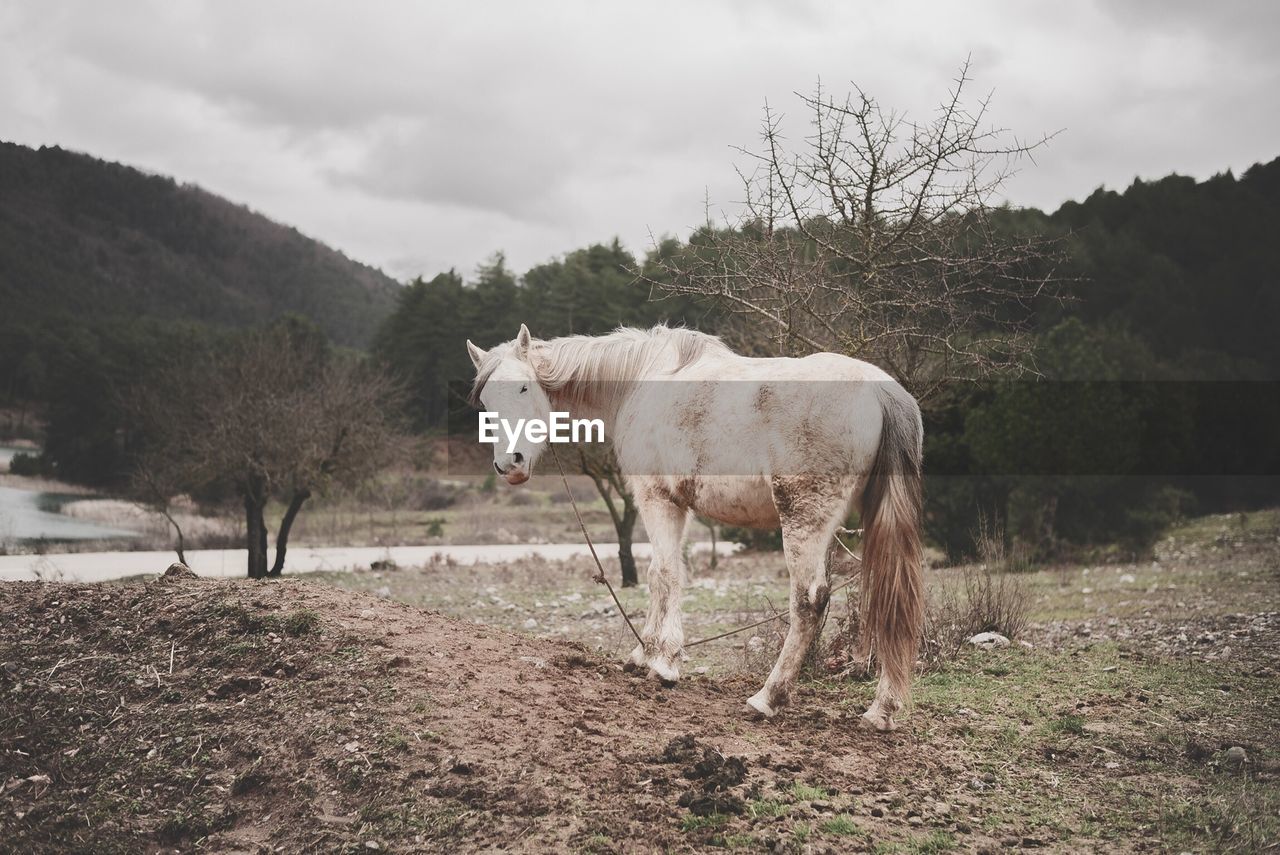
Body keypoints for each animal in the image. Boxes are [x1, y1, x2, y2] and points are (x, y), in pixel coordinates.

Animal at [465, 323, 926, 732]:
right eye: (485, 400)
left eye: (524, 388)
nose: (509, 464)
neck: (640, 380)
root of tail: (880, 389)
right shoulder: (679, 506)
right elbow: (669, 574)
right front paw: (645, 654)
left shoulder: (656, 499)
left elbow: (662, 573)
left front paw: (662, 662)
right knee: (890, 598)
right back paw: (882, 710)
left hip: (802, 517)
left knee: (809, 602)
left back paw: (767, 698)